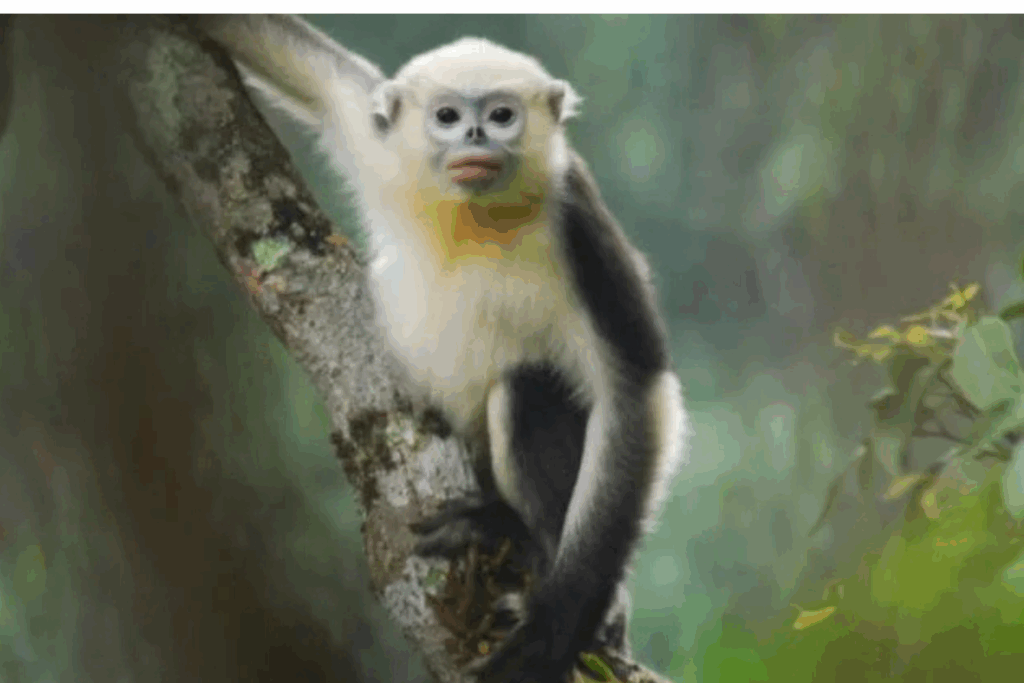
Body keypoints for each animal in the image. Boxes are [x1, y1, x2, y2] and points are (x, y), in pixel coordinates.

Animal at [196, 15, 690, 683]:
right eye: (449, 117)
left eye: (502, 115)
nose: (477, 134)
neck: (475, 219)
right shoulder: (380, 141)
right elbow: (299, 61)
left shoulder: (578, 221)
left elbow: (636, 389)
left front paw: (558, 627)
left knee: (527, 388)